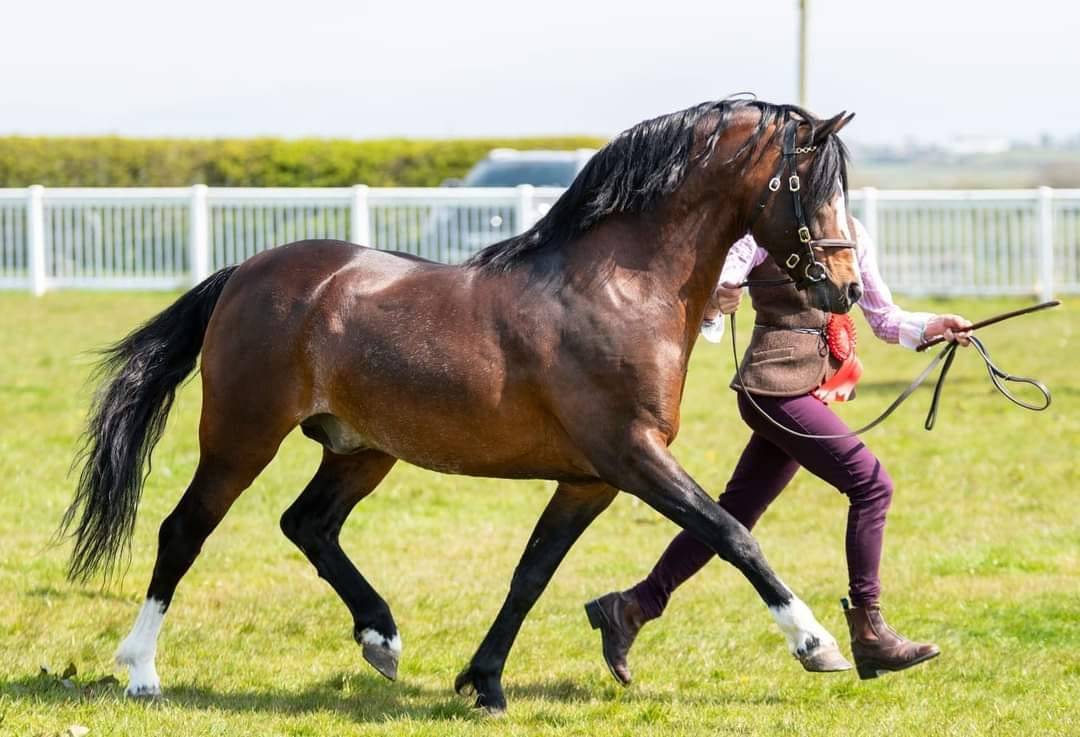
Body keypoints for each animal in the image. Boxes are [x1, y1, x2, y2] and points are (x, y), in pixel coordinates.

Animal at [62, 98, 861, 714]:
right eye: (809, 184)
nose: (845, 288)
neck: (618, 289)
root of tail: (243, 274)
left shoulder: (589, 479)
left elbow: (531, 575)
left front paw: (483, 683)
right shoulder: (632, 455)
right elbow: (733, 533)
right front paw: (817, 643)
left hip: (361, 449)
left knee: (308, 524)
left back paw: (381, 638)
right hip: (241, 435)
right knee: (184, 530)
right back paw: (141, 671)